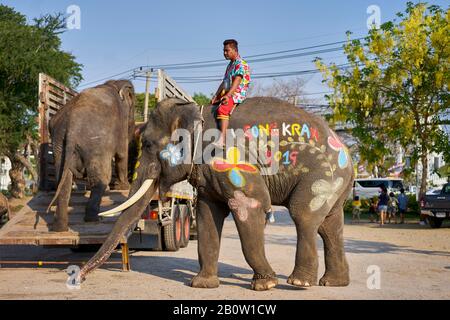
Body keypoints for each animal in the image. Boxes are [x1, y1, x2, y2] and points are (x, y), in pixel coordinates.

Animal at [48, 79, 135, 231]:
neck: (113, 84)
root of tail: (72, 126)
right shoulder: (121, 127)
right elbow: (122, 155)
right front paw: (124, 187)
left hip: (59, 144)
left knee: (63, 181)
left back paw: (59, 228)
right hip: (97, 141)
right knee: (100, 178)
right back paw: (94, 219)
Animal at [77, 97, 354, 290]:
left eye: (146, 144)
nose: (78, 277)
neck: (196, 114)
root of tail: (347, 152)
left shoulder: (229, 163)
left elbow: (252, 205)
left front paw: (265, 285)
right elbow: (207, 215)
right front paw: (201, 285)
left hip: (322, 174)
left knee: (303, 216)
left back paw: (299, 283)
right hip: (336, 184)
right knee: (330, 225)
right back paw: (333, 283)